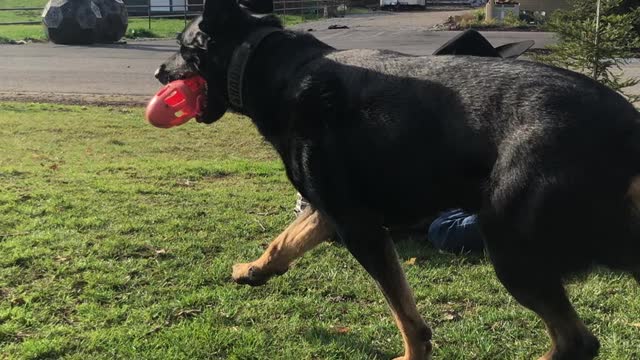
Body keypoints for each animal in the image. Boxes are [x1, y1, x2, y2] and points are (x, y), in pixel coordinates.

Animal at [155, 0, 640, 358]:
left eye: (182, 44)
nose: (158, 72)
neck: (271, 68)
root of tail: (627, 129)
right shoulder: (334, 210)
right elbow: (285, 239)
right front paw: (253, 270)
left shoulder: (359, 227)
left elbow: (404, 315)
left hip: (512, 248)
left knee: (577, 341)